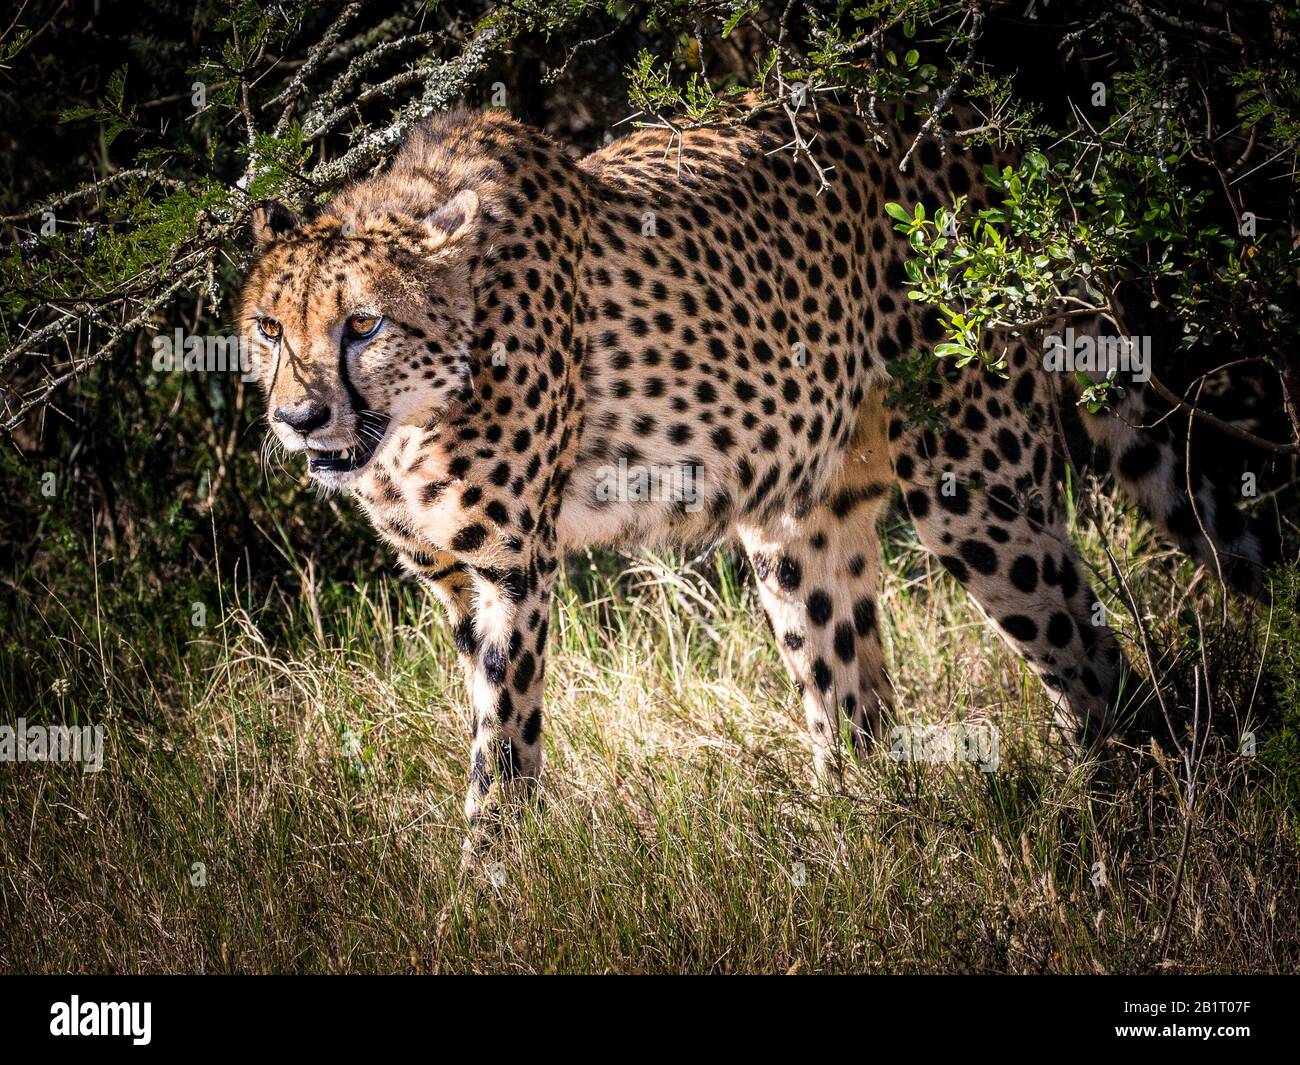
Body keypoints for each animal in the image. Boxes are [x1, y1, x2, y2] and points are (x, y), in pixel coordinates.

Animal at [241, 100, 1268, 858]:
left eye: (363, 325)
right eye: (268, 329)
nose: (299, 419)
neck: (415, 418)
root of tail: (956, 125)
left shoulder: (511, 574)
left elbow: (506, 742)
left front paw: (489, 881)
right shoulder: (453, 581)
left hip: (973, 488)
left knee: (1090, 657)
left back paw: (1100, 816)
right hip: (801, 523)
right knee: (856, 704)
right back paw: (851, 843)